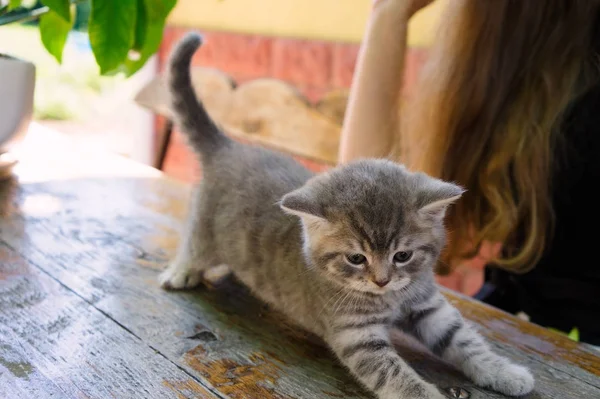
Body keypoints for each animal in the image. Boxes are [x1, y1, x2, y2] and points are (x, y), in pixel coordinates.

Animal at [159, 34, 536, 399]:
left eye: (403, 255)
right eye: (356, 258)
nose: (381, 280)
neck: (389, 299)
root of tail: (230, 147)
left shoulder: (429, 306)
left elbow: (464, 339)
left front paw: (505, 372)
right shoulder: (356, 336)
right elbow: (397, 376)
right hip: (205, 229)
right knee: (193, 244)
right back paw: (182, 271)